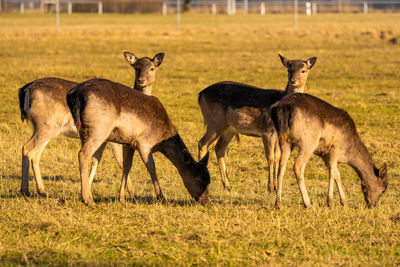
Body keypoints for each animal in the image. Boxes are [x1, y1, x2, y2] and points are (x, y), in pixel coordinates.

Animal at [18, 50, 165, 198]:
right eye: (136, 68)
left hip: (40, 126)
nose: (142, 80)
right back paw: (26, 190)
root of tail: (26, 89)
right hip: (47, 124)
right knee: (28, 149)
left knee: (36, 153)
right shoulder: (113, 139)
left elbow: (96, 160)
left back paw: (41, 190)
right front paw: (132, 193)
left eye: (152, 68)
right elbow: (120, 161)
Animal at [66, 78, 209, 206]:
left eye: (209, 179)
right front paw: (161, 198)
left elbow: (126, 166)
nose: (206, 201)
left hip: (87, 132)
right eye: (199, 179)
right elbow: (152, 168)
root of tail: (75, 94)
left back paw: (87, 195)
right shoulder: (144, 143)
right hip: (99, 129)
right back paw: (87, 199)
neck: (162, 139)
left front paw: (122, 198)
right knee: (83, 154)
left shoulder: (129, 144)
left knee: (93, 158)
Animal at [198, 54, 318, 193]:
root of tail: (200, 94)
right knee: (202, 143)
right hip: (215, 122)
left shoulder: (277, 134)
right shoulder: (266, 131)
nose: (293, 80)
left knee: (219, 148)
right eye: (289, 69)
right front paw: (270, 188)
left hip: (229, 128)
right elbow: (270, 157)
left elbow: (277, 157)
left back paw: (227, 186)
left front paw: (275, 186)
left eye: (303, 70)